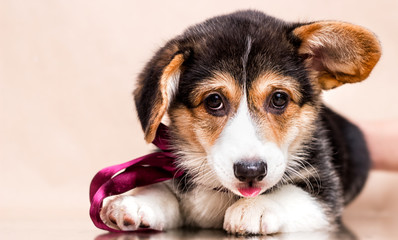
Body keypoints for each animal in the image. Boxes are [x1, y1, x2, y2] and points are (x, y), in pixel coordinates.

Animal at [101, 9, 380, 234]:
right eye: (214, 100)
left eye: (279, 98)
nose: (250, 171)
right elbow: (162, 190)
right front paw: (135, 203)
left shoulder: (324, 195)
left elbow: (293, 193)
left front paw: (255, 208)